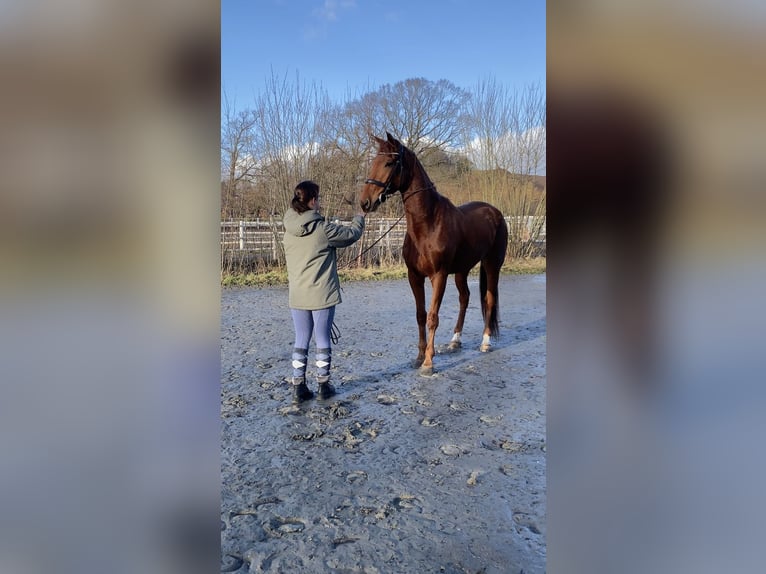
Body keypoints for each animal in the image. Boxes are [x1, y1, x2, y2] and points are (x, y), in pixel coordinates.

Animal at [362, 133, 510, 376]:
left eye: (390, 163)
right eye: (374, 161)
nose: (365, 202)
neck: (428, 223)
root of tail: (495, 212)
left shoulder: (438, 276)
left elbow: (432, 317)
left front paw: (429, 362)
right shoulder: (414, 277)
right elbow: (420, 315)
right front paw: (419, 356)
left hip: (491, 264)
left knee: (489, 299)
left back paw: (486, 342)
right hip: (461, 271)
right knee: (464, 298)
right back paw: (455, 340)